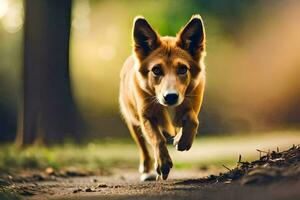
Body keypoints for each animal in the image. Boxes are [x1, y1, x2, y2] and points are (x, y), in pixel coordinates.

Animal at [119, 14, 206, 180]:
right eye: (156, 70)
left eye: (183, 69)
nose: (170, 97)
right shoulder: (146, 116)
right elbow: (157, 139)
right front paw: (163, 164)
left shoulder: (191, 104)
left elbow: (193, 120)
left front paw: (182, 140)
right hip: (132, 121)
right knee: (143, 147)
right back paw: (146, 170)